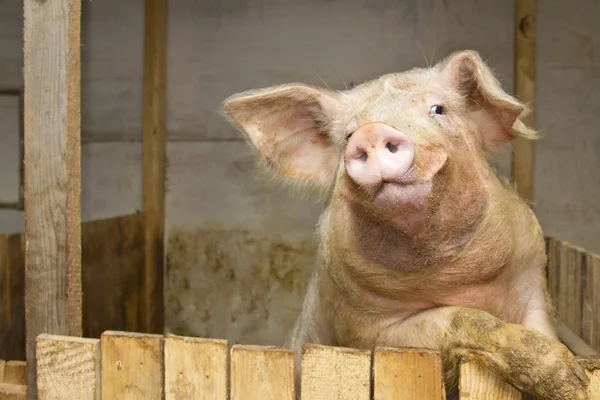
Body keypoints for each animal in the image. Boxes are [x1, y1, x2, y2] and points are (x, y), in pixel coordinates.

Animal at [221, 50, 592, 400]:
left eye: (438, 109)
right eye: (348, 134)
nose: (371, 132)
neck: (453, 277)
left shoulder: (532, 278)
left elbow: (541, 330)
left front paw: (574, 383)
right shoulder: (366, 328)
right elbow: (462, 318)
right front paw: (574, 383)